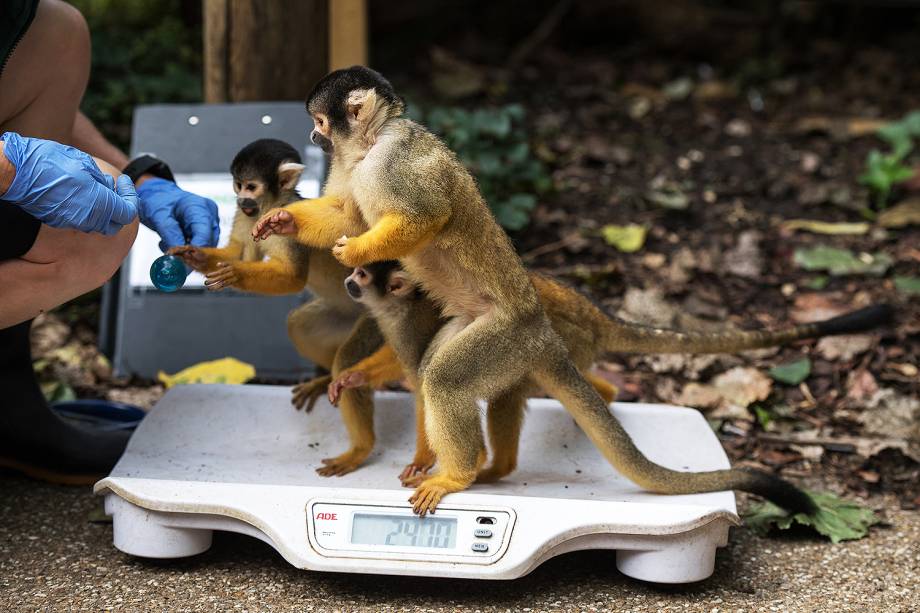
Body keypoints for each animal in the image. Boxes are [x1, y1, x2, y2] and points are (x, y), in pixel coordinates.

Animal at [252, 65, 892, 516]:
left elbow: (423, 216)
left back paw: (459, 472)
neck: (371, 145)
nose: (311, 134)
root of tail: (540, 324)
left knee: (445, 379)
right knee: (437, 367)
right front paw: (282, 222)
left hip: (504, 335)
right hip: (481, 329)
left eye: (320, 120)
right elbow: (344, 210)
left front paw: (357, 253)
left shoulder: (401, 158)